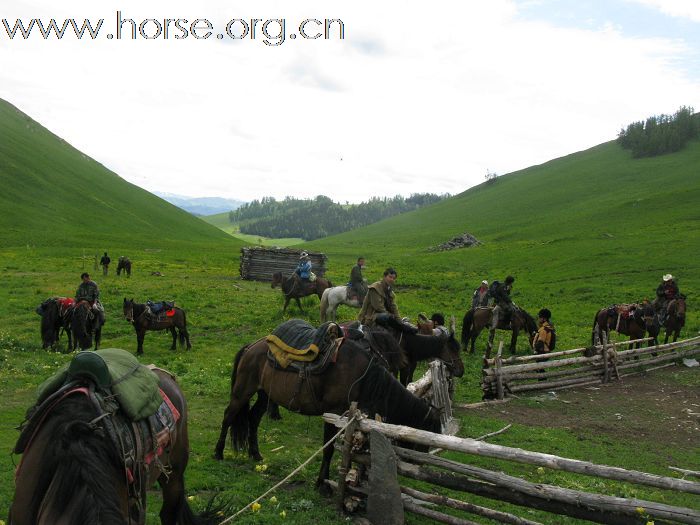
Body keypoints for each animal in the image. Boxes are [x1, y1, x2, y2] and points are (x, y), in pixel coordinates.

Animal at [215, 330, 442, 490]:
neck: (363, 378)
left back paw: (256, 454)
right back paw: (218, 453)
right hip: (243, 391)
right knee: (228, 416)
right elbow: (328, 449)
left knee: (253, 420)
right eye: (426, 440)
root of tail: (251, 347)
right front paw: (322, 484)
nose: (418, 468)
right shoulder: (332, 415)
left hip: (265, 395)